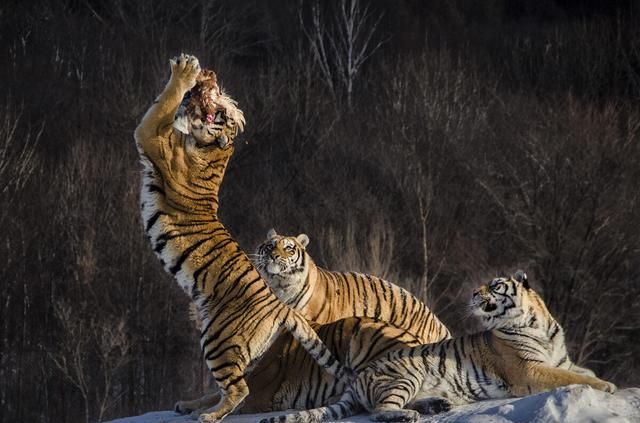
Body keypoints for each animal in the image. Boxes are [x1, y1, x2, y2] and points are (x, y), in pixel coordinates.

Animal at [132, 54, 348, 422]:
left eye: (222, 114)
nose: (210, 78)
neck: (213, 149)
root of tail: (279, 304)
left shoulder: (151, 135)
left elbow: (162, 104)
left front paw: (184, 71)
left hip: (217, 339)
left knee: (239, 389)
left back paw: (207, 415)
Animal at [264, 274, 616, 422]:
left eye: (495, 285)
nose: (474, 292)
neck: (536, 322)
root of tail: (358, 376)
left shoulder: (562, 360)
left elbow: (581, 370)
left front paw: (606, 381)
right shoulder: (528, 368)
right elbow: (572, 378)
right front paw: (606, 387)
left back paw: (437, 405)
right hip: (405, 376)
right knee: (379, 410)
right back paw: (408, 415)